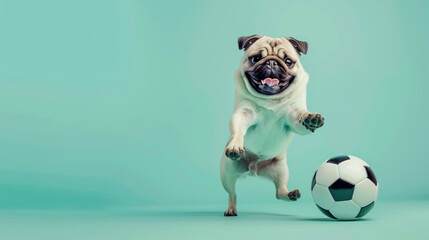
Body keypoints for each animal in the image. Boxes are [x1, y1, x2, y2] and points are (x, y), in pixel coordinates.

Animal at [221, 34, 324, 217]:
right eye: (256, 58)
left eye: (288, 61)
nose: (271, 63)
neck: (271, 101)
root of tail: (254, 169)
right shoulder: (243, 114)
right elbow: (238, 128)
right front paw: (235, 145)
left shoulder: (293, 116)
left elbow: (300, 118)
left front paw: (311, 118)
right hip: (227, 173)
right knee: (232, 193)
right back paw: (231, 209)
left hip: (282, 170)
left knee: (279, 192)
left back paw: (291, 194)